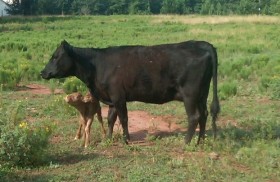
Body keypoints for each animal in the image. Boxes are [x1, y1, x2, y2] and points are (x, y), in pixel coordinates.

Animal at [41, 40, 221, 145]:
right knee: (204, 114)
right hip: (202, 94)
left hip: (190, 94)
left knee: (194, 116)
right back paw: (200, 140)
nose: (42, 72)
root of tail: (204, 44)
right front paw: (108, 139)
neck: (96, 66)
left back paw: (186, 142)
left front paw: (126, 140)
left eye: (55, 56)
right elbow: (111, 119)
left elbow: (124, 119)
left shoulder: (118, 97)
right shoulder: (112, 98)